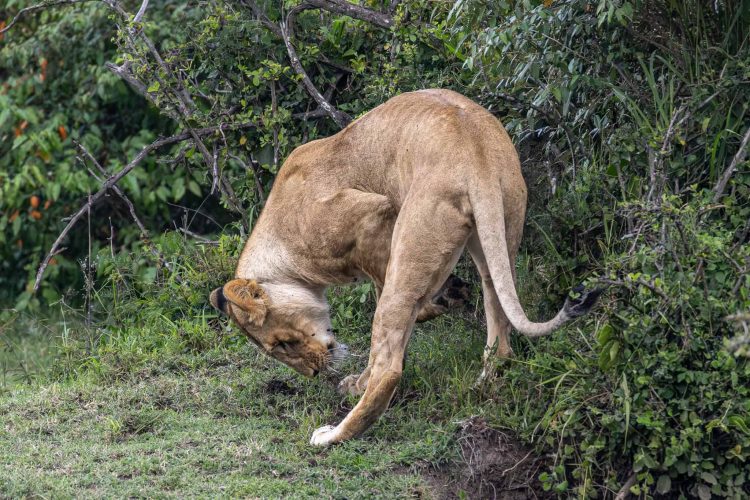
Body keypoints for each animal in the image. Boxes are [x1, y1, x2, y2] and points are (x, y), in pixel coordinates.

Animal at [209, 89, 600, 446]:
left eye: (283, 344)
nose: (316, 371)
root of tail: (475, 151)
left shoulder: (374, 214)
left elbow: (382, 302)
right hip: (497, 233)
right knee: (499, 323)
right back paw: (483, 383)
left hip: (411, 233)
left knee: (388, 368)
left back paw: (331, 435)